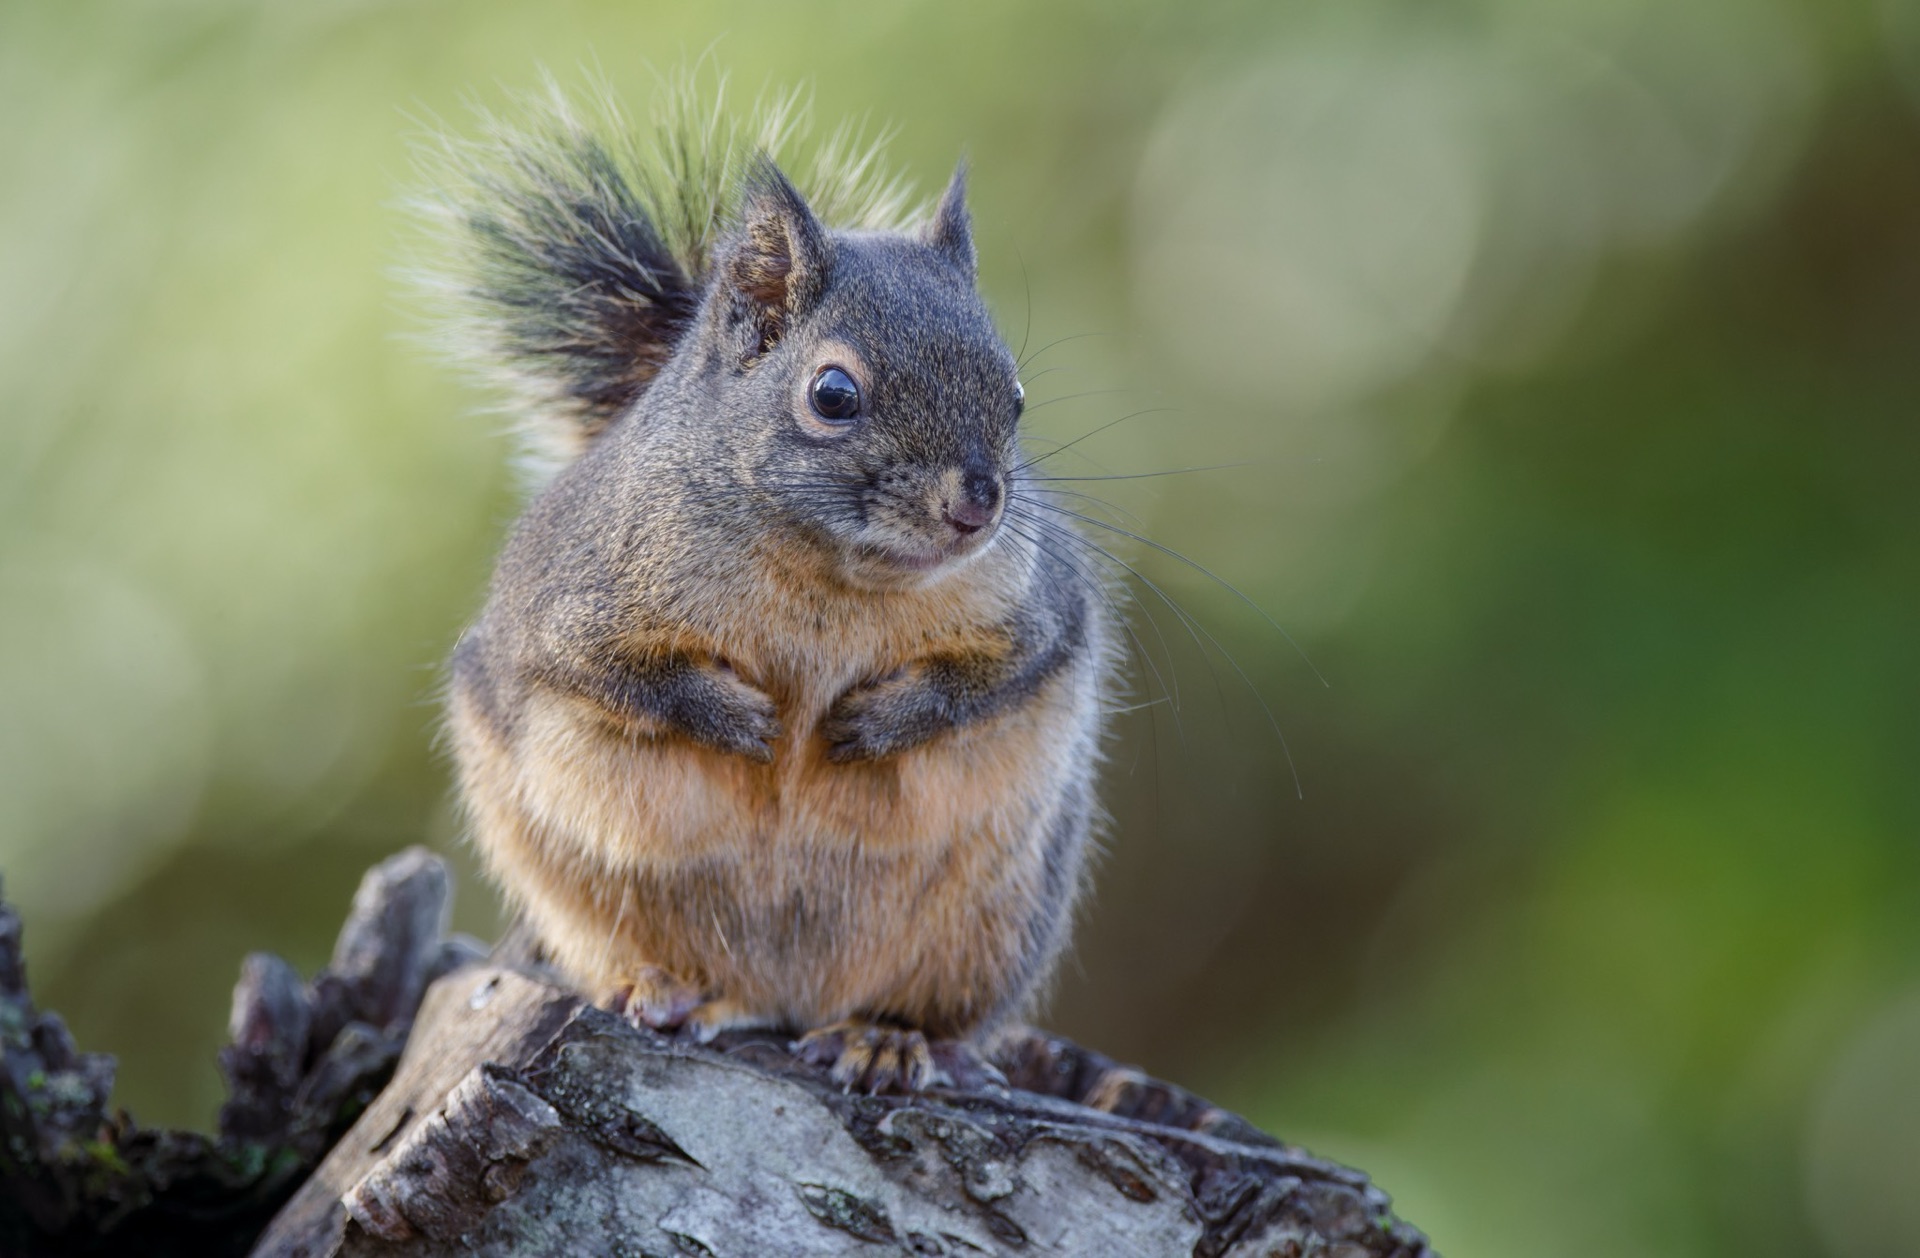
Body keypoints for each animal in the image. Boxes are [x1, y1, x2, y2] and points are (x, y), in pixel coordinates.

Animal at [420, 86, 1114, 1093]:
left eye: (1015, 396)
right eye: (832, 394)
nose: (977, 505)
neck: (833, 574)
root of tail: (787, 1001)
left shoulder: (1042, 605)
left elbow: (1003, 674)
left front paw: (882, 720)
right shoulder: (563, 611)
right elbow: (612, 675)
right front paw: (734, 718)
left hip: (990, 925)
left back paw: (885, 1038)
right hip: (575, 889)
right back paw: (664, 990)